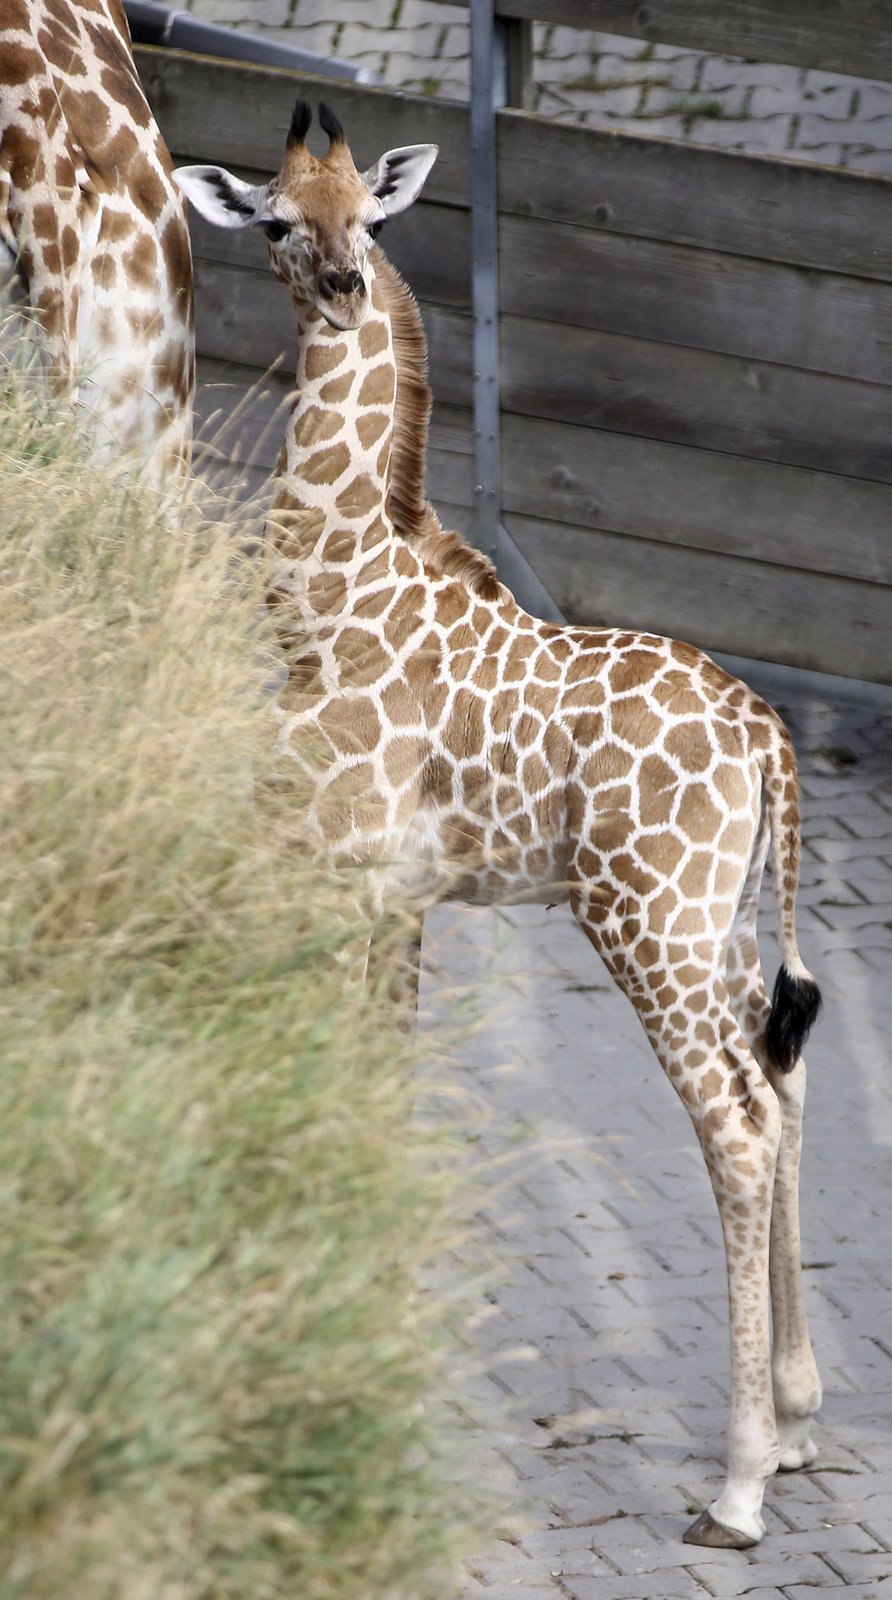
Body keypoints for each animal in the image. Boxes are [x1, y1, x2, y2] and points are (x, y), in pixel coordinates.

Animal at [178, 100, 831, 1548]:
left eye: (367, 215)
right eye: (275, 220)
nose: (342, 287)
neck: (331, 595)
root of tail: (767, 737)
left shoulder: (339, 869)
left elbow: (344, 1071)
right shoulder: (396, 895)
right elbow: (381, 1076)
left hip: (645, 922)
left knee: (736, 1124)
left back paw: (740, 1482)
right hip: (718, 926)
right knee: (780, 1084)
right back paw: (805, 1414)